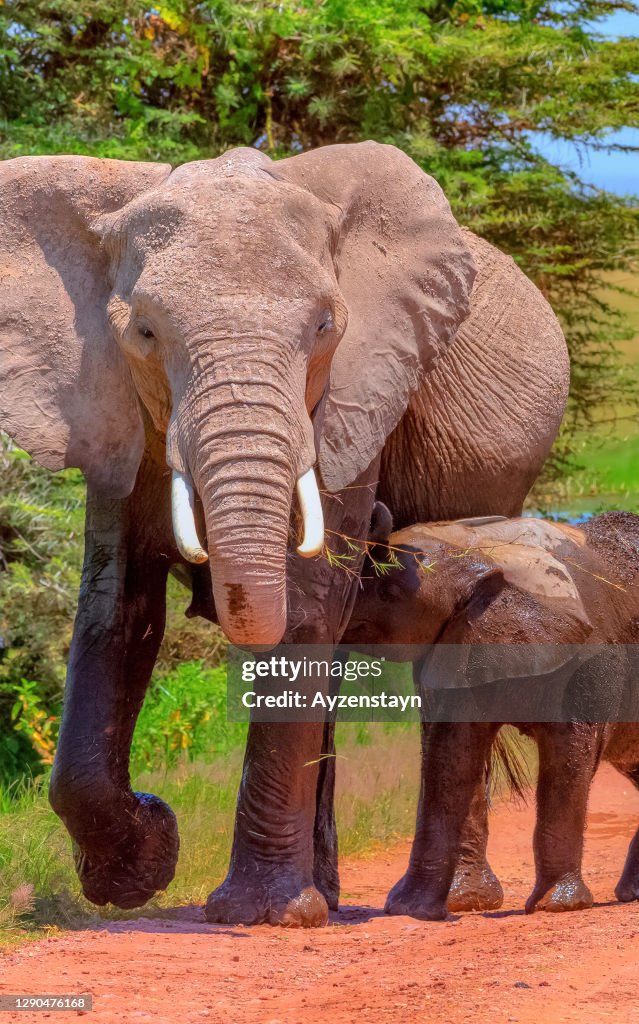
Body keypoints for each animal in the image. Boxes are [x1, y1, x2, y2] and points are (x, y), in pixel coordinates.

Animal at [0, 142, 569, 926]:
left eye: (325, 327)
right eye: (143, 333)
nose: (387, 542)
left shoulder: (356, 394)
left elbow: (304, 607)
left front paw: (261, 915)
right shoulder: (114, 408)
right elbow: (115, 611)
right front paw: (146, 859)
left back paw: (448, 901)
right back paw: (330, 892)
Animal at [344, 506, 639, 918]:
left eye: (392, 592)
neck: (482, 549)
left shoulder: (593, 655)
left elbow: (569, 755)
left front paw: (556, 907)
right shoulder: (460, 640)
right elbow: (453, 754)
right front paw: (419, 908)